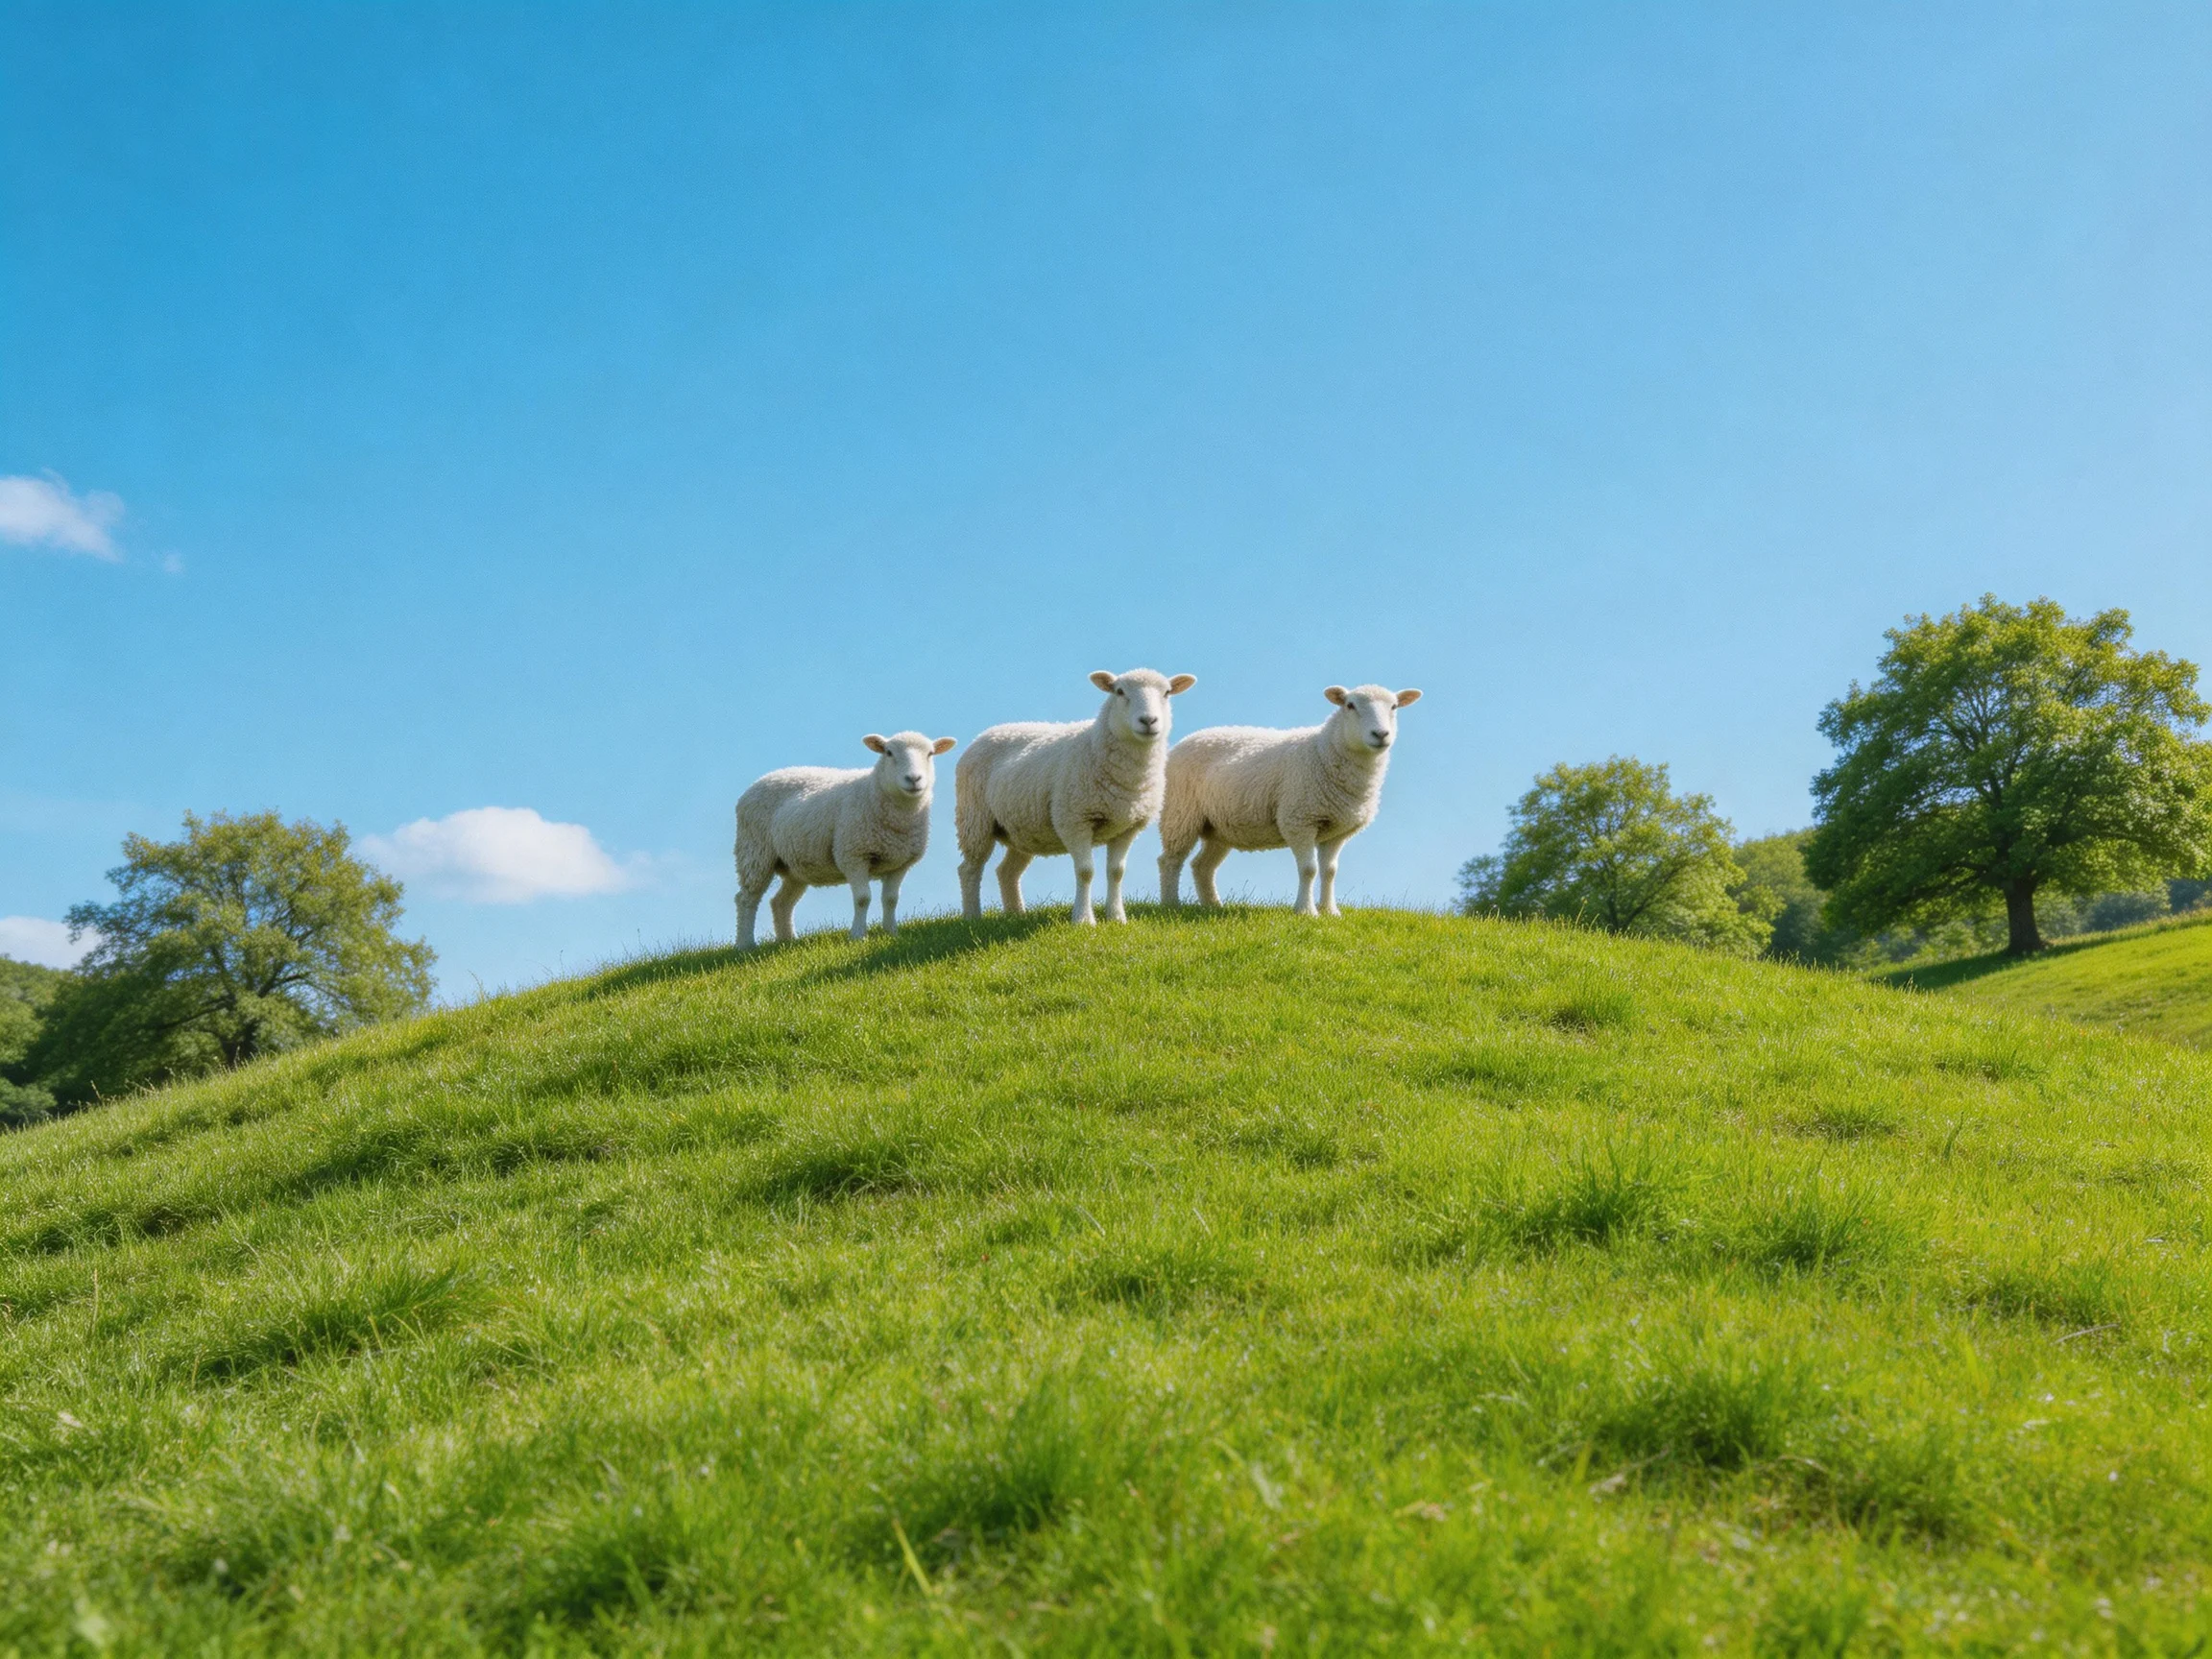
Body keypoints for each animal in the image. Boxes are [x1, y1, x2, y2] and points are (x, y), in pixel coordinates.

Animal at [734, 731, 957, 948]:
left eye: (930, 754)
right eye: (888, 752)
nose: (913, 779)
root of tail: (760, 780)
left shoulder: (900, 862)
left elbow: (891, 899)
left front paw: (891, 933)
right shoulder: (853, 855)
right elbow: (863, 899)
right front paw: (858, 936)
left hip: (795, 865)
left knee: (780, 902)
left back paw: (787, 940)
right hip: (754, 851)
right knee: (746, 899)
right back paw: (745, 944)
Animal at [956, 668, 1198, 925]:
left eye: (1167, 692)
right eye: (1119, 691)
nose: (1149, 721)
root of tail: (988, 732)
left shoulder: (1127, 827)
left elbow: (1116, 872)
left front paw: (1116, 918)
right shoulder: (1074, 820)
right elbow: (1085, 871)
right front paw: (1083, 920)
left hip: (1022, 828)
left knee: (1006, 871)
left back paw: (1016, 914)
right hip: (975, 820)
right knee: (969, 869)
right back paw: (972, 916)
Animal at [1158, 683, 1423, 916]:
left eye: (1394, 706)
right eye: (1350, 705)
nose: (1380, 734)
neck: (1324, 750)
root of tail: (1189, 739)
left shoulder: (1337, 829)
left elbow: (1330, 871)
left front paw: (1330, 911)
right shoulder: (1299, 820)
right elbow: (1309, 869)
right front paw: (1306, 911)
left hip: (1218, 827)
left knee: (1202, 866)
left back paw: (1213, 906)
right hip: (1180, 814)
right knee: (1170, 861)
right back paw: (1171, 904)